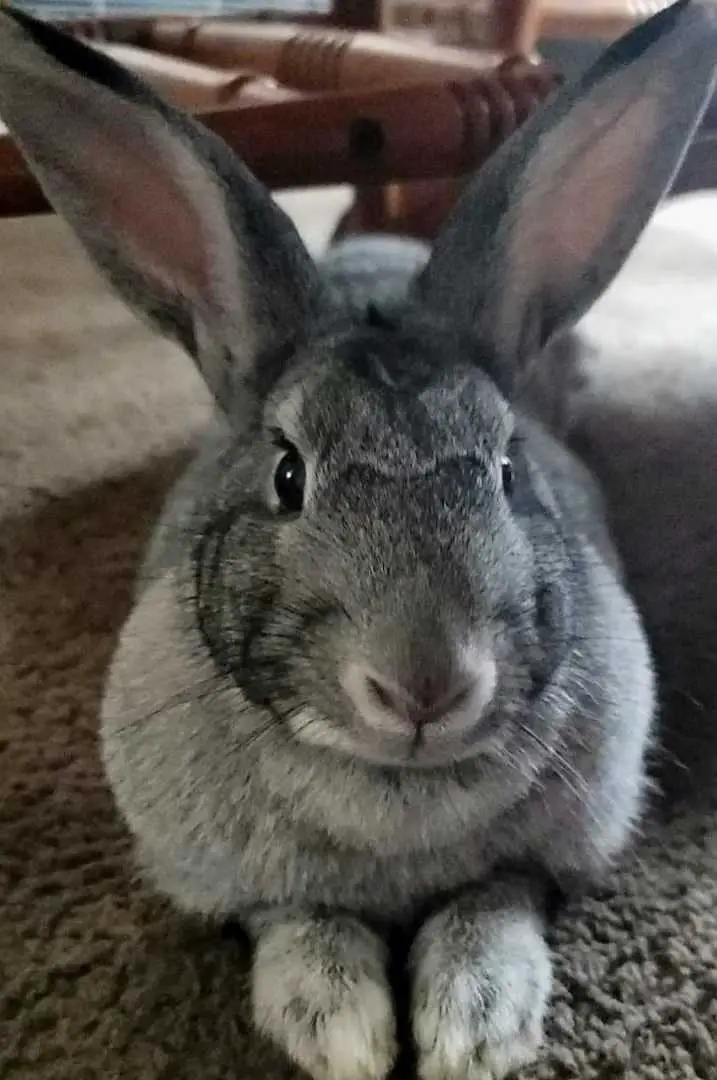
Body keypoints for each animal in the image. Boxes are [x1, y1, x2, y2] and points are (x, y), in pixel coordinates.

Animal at [1, 4, 717, 1075]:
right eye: (287, 476)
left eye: (507, 470)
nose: (425, 684)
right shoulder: (253, 891)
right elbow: (300, 923)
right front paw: (345, 1034)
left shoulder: (539, 863)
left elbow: (493, 903)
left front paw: (474, 1029)